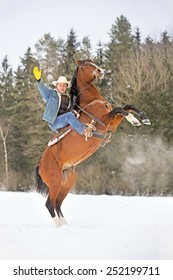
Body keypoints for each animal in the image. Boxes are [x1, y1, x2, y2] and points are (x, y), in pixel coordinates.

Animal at [34, 59, 150, 225]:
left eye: (92, 61)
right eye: (85, 65)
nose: (100, 70)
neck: (92, 101)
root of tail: (41, 164)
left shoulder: (112, 125)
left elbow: (126, 106)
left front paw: (142, 118)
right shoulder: (104, 122)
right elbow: (119, 109)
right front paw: (133, 119)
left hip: (67, 181)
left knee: (57, 203)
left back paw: (65, 225)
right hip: (55, 181)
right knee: (50, 203)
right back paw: (60, 227)